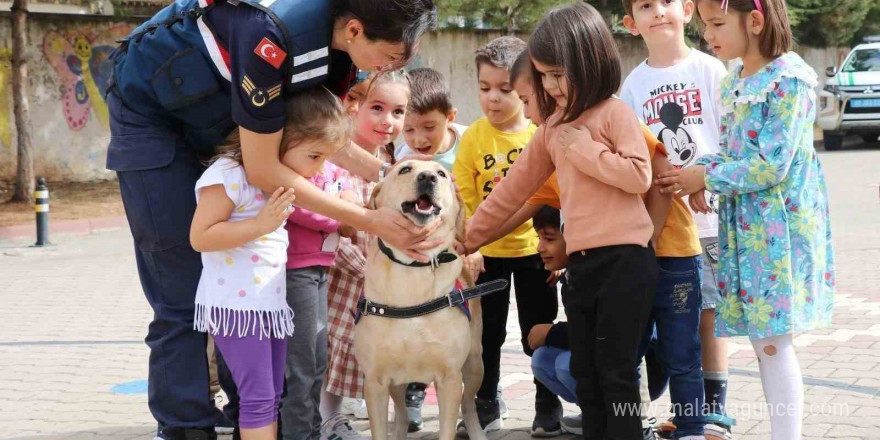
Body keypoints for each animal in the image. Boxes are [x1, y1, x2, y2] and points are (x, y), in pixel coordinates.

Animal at [352, 160, 488, 440]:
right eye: (405, 169)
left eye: (441, 174)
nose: (427, 177)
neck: (412, 270)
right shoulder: (375, 381)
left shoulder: (449, 378)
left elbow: (448, 428)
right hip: (396, 384)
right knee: (402, 413)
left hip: (474, 363)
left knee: (469, 405)